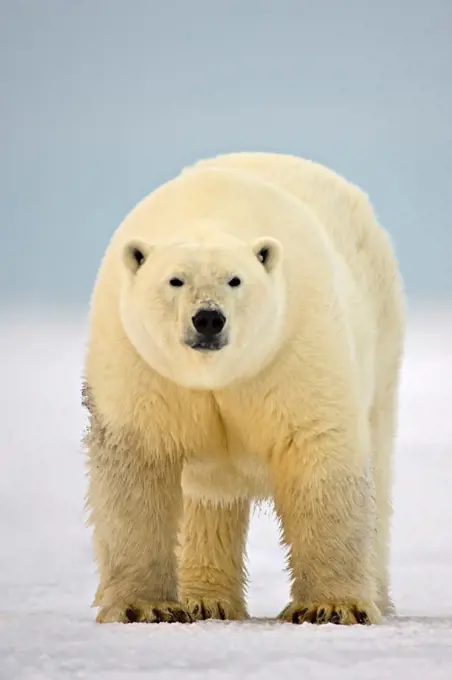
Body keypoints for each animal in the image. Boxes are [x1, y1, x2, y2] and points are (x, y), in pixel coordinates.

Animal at [83, 151, 404, 624]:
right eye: (175, 280)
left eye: (235, 279)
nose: (208, 318)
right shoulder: (139, 361)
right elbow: (138, 464)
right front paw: (147, 607)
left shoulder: (292, 344)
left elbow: (318, 453)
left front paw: (330, 606)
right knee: (208, 502)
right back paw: (205, 601)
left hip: (381, 340)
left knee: (378, 466)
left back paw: (377, 596)